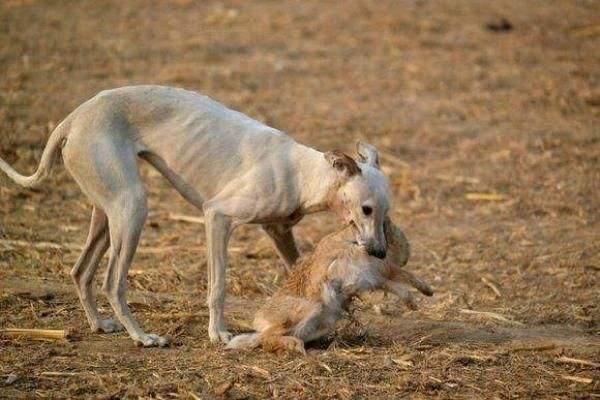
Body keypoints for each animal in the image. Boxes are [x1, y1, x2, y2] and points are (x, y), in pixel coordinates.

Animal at [0, 85, 392, 346]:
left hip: (107, 213)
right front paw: (218, 333)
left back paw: (100, 324)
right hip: (132, 209)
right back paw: (142, 336)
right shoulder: (217, 217)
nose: (380, 252)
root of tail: (72, 119)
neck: (304, 172)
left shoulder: (279, 232)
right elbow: (218, 285)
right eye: (366, 209)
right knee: (113, 282)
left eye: (386, 214)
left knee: (80, 272)